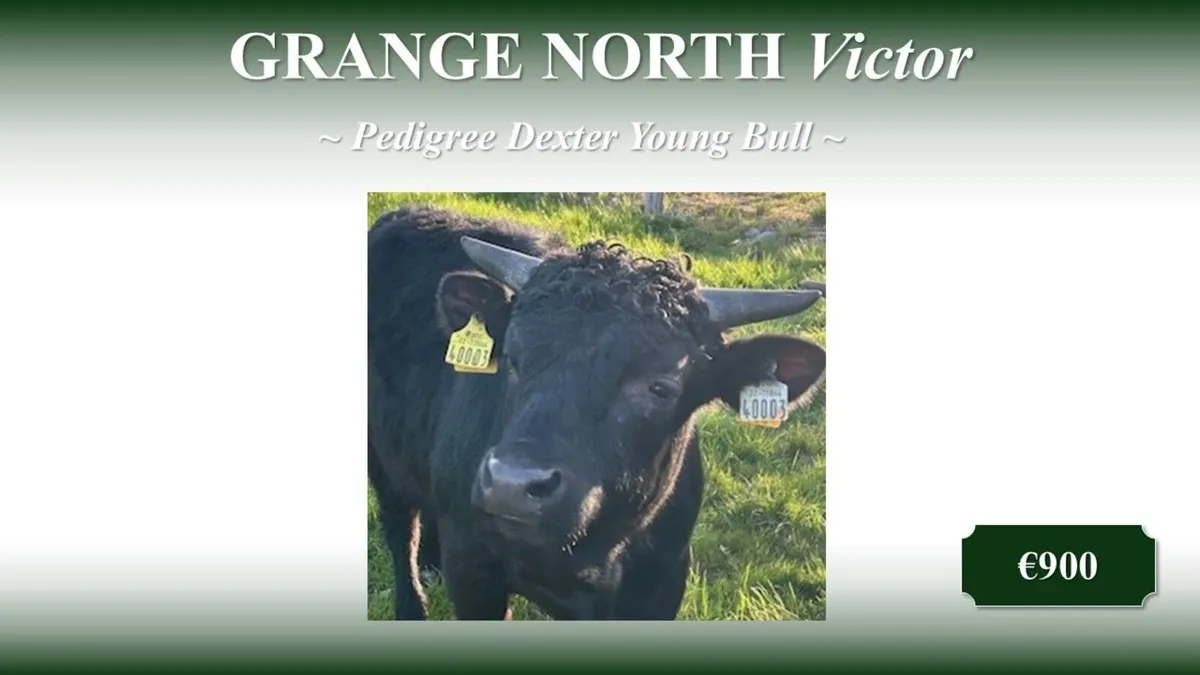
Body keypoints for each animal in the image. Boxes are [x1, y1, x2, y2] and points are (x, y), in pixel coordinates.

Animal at [367, 205, 826, 620]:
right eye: (513, 359)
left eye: (660, 387)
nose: (512, 485)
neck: (593, 551)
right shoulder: (473, 570)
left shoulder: (659, 587)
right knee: (400, 529)